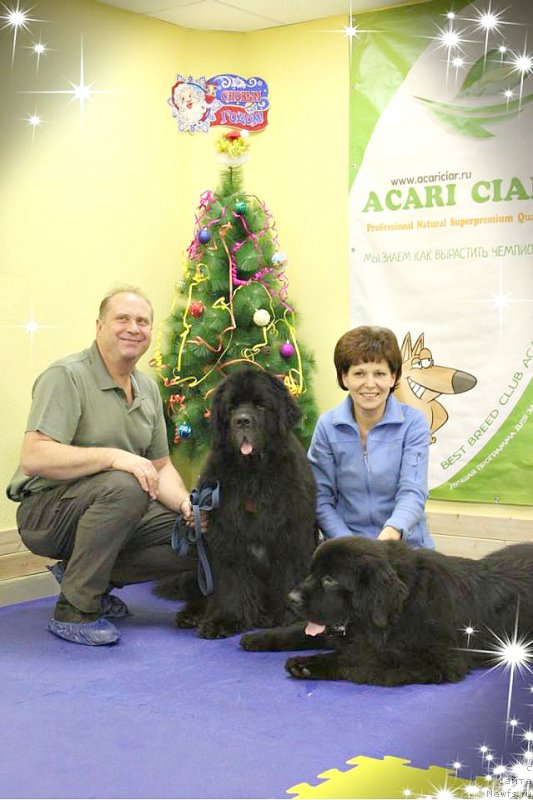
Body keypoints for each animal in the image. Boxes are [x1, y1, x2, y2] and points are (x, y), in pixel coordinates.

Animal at [240, 536, 532, 684]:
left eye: (330, 579)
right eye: (312, 572)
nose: (290, 598)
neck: (401, 608)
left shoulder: (435, 659)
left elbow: (360, 658)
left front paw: (309, 663)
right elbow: (300, 631)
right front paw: (259, 637)